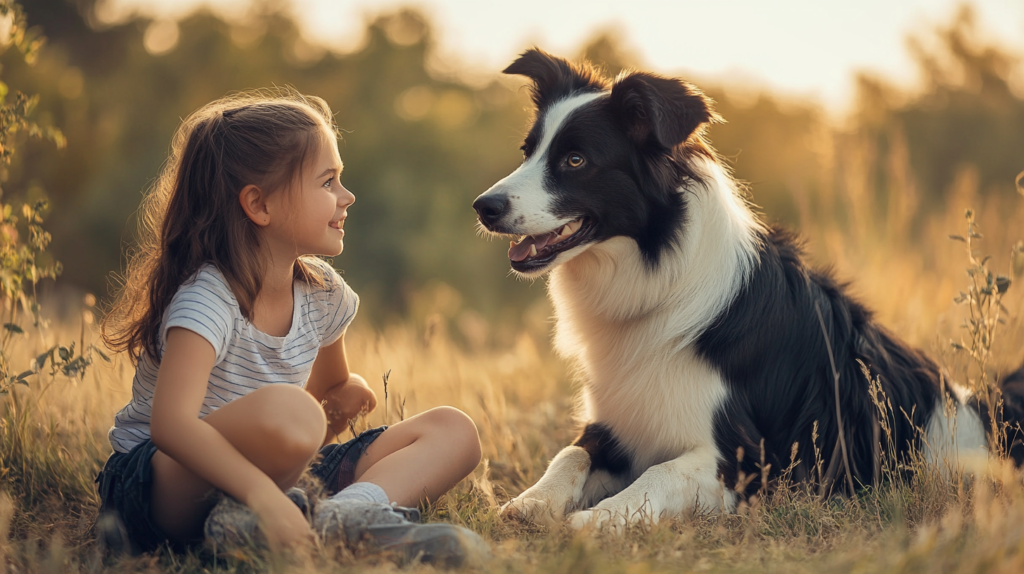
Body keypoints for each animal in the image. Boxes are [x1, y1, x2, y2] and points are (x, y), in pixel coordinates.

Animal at [471, 50, 1024, 532]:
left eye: (575, 160)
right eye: (527, 152)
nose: (484, 206)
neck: (658, 277)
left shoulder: (747, 460)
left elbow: (658, 473)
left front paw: (599, 518)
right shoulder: (618, 423)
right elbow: (570, 453)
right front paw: (531, 502)